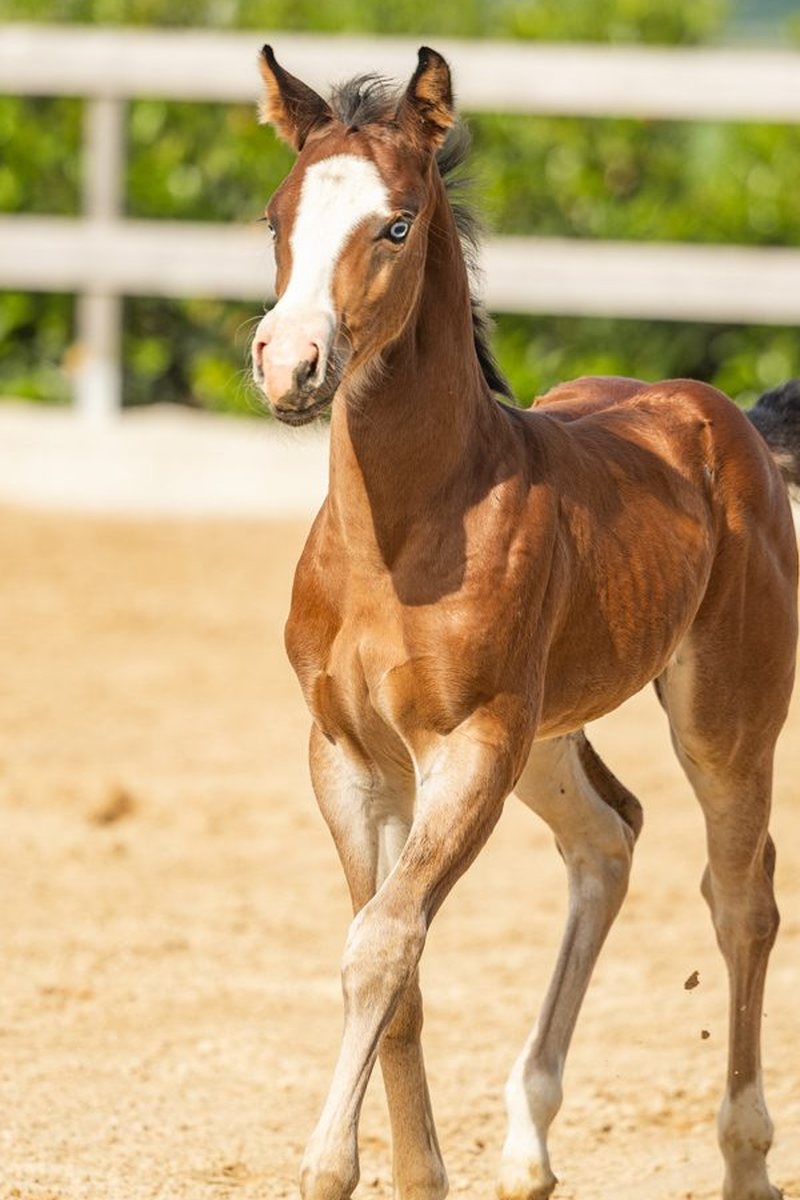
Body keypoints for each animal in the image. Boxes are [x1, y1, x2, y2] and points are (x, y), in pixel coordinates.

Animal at [250, 45, 799, 1200]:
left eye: (396, 223)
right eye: (278, 215)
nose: (290, 364)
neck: (401, 534)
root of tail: (726, 417)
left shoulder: (469, 744)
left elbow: (381, 944)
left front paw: (328, 1166)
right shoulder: (349, 756)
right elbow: (393, 958)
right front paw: (420, 1175)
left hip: (722, 720)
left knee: (741, 897)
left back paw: (744, 1158)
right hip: (549, 736)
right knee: (606, 840)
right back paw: (528, 1141)